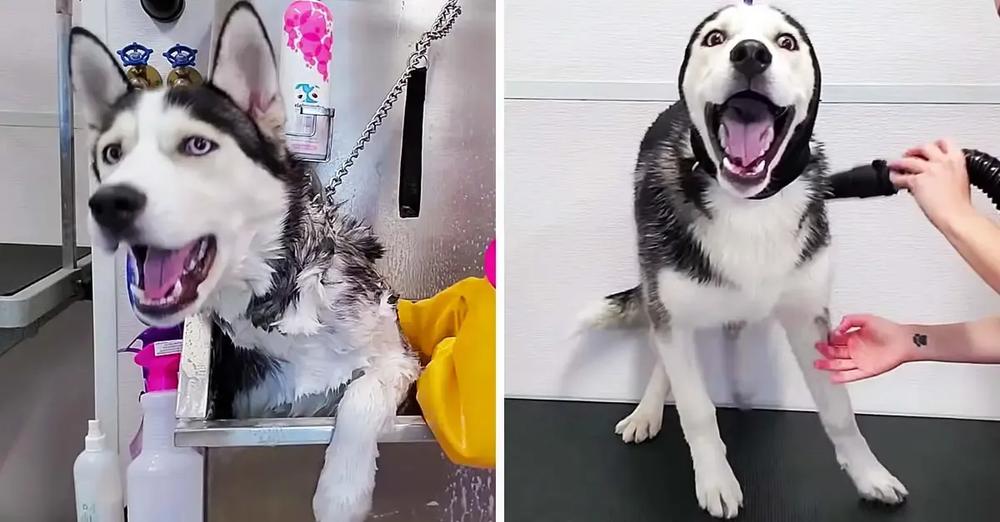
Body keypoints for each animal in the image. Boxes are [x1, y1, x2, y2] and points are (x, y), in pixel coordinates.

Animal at [72, 3, 418, 516]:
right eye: (112, 153)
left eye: (197, 145)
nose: (109, 204)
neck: (278, 297)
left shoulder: (398, 358)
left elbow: (360, 393)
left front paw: (341, 493)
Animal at [584, 4, 912, 516]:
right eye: (716, 38)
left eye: (786, 42)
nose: (751, 54)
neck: (749, 206)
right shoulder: (672, 312)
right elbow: (697, 409)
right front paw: (715, 480)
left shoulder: (809, 318)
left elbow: (840, 412)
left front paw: (869, 476)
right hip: (661, 289)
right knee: (665, 353)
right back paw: (648, 410)